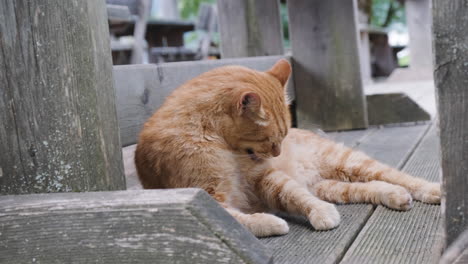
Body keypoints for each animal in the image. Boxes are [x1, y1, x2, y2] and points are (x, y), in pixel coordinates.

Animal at [133, 59, 440, 237]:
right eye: (271, 140)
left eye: (283, 136)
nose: (278, 154)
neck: (219, 144)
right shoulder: (208, 196)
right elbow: (233, 221)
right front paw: (270, 223)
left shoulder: (264, 177)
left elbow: (294, 195)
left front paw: (318, 213)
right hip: (331, 185)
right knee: (370, 187)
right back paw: (396, 196)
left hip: (349, 163)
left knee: (398, 177)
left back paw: (433, 190)